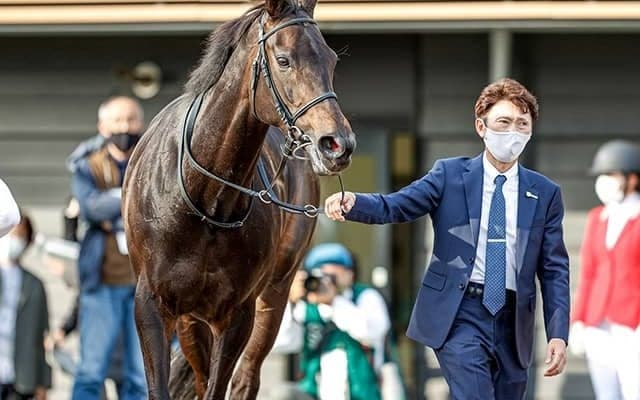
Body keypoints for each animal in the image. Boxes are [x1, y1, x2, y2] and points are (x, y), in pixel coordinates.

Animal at [122, 0, 356, 398]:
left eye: (331, 60)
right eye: (283, 60)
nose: (337, 144)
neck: (204, 202)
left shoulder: (237, 315)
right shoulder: (153, 306)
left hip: (275, 295)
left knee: (246, 378)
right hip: (190, 321)